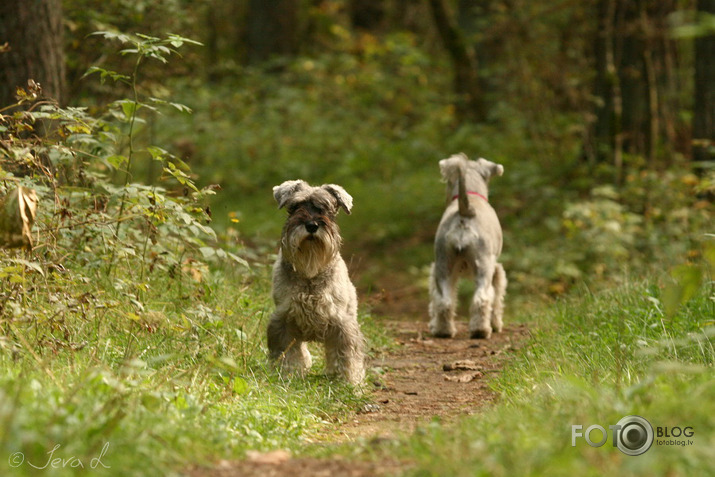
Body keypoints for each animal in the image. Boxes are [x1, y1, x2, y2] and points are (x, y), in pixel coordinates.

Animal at [270, 178, 370, 384]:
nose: (312, 225)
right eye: (295, 206)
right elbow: (287, 353)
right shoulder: (283, 320)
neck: (310, 272)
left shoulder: (342, 325)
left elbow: (347, 356)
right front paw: (287, 375)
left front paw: (349, 382)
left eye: (327, 208)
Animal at [428, 152, 506, 338]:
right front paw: (497, 324)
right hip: (484, 267)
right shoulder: (496, 269)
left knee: (444, 301)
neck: (473, 196)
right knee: (482, 299)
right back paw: (482, 330)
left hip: (443, 265)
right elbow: (497, 297)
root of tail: (464, 212)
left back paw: (443, 330)